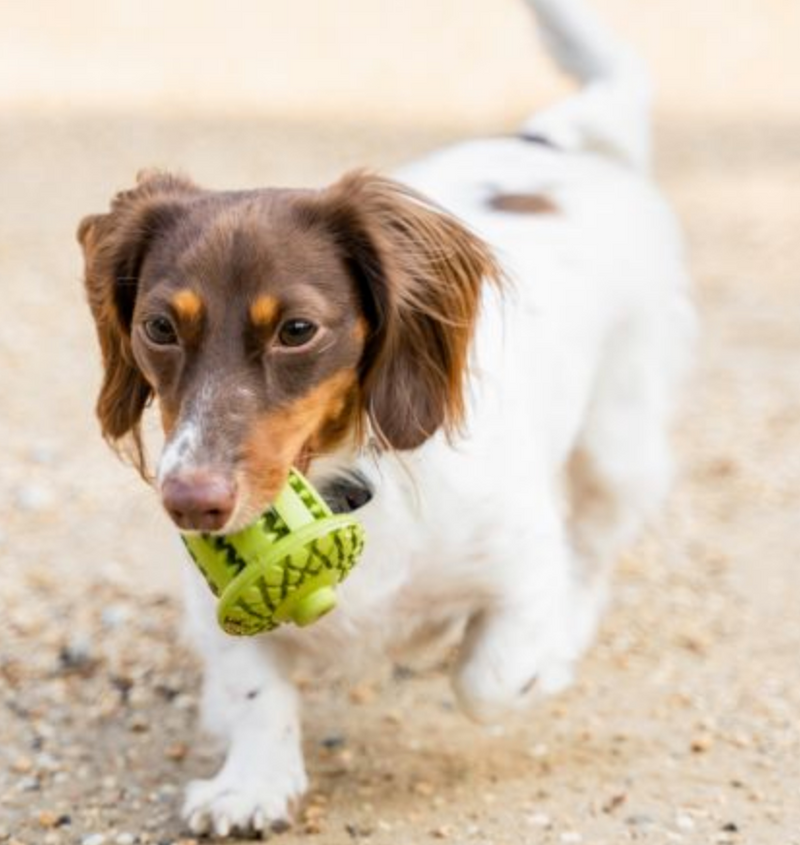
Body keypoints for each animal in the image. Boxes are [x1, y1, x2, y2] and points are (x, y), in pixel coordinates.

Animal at [78, 0, 696, 836]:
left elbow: (489, 675)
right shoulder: (212, 610)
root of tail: (550, 140)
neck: (351, 479)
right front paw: (251, 781)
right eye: (158, 327)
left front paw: (529, 662)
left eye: (297, 330)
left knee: (594, 551)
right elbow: (252, 685)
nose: (190, 503)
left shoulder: (522, 560)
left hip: (618, 445)